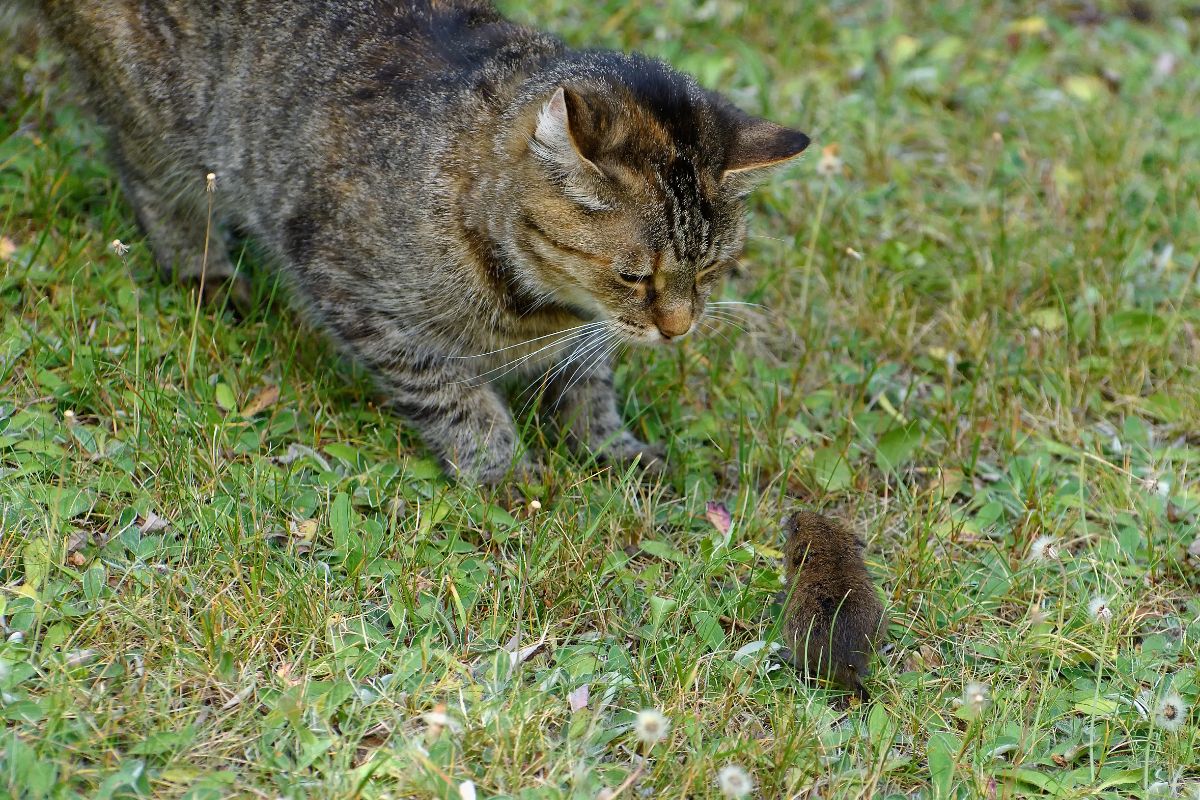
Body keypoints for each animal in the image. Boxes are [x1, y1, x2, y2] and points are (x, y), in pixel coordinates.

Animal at [37, 0, 811, 484]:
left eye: (709, 271)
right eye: (633, 277)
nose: (679, 330)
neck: (540, 306)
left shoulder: (586, 337)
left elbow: (588, 387)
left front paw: (609, 449)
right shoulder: (353, 292)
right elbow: (453, 395)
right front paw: (504, 471)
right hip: (163, 123)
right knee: (151, 186)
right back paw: (207, 273)